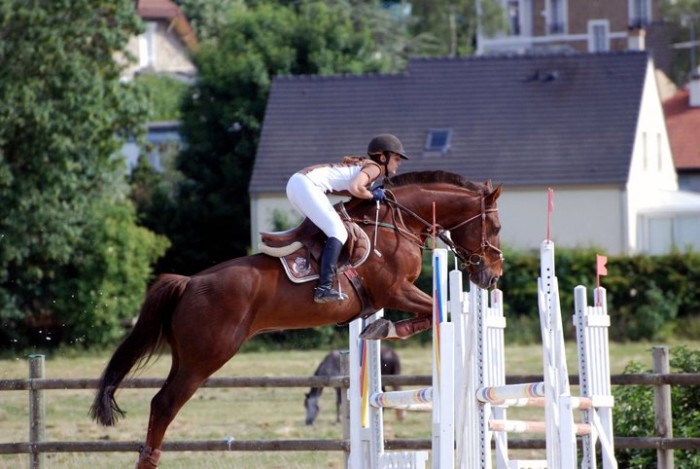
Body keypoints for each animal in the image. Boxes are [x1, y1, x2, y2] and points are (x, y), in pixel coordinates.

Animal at [89, 170, 504, 466]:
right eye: (497, 227)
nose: (492, 276)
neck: (397, 223)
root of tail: (188, 283)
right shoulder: (395, 290)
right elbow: (434, 310)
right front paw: (385, 327)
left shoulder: (392, 294)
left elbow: (426, 313)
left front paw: (377, 327)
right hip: (205, 358)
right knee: (163, 404)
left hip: (187, 357)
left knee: (161, 402)